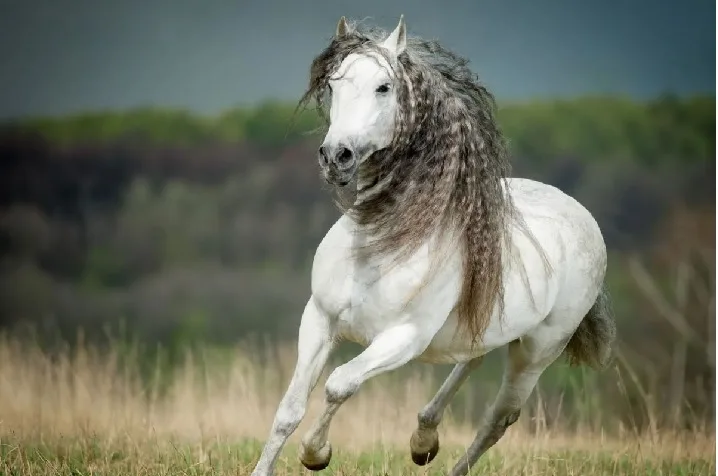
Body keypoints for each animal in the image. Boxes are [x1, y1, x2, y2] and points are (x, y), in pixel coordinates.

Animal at [250, 15, 616, 476]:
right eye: (333, 85)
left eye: (384, 87)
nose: (336, 156)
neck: (382, 244)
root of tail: (583, 216)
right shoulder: (319, 319)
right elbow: (290, 409)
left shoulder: (403, 339)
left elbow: (339, 384)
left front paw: (316, 453)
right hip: (484, 331)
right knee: (471, 359)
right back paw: (424, 439)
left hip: (536, 352)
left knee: (498, 418)